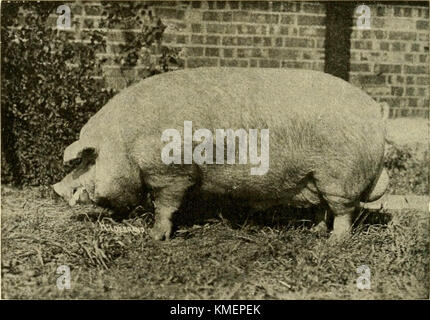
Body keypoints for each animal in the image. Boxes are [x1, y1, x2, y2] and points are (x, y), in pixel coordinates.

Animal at [52, 67, 388, 240]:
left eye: (89, 159)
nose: (56, 189)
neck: (125, 143)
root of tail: (375, 112)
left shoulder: (171, 173)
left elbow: (165, 206)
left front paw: (156, 236)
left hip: (340, 175)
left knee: (343, 211)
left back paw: (332, 242)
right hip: (315, 176)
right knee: (323, 207)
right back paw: (315, 231)